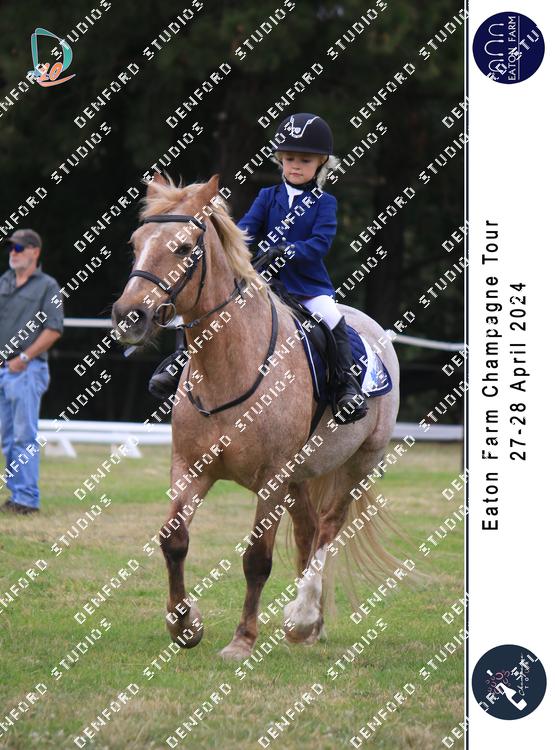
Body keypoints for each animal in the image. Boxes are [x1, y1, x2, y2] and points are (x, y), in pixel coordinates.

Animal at [112, 173, 401, 660]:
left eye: (184, 247)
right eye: (135, 243)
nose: (129, 316)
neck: (227, 367)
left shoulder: (271, 480)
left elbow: (256, 560)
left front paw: (242, 641)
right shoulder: (190, 468)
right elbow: (173, 539)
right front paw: (184, 625)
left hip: (360, 464)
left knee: (329, 529)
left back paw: (302, 616)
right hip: (302, 475)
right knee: (307, 530)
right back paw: (312, 624)